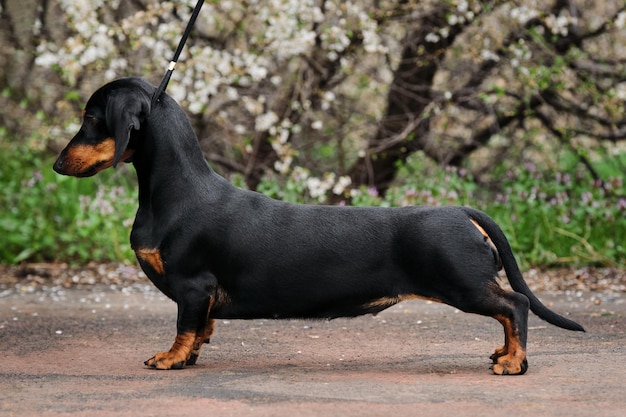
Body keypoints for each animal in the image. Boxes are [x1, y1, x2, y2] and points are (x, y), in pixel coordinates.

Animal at [53, 77, 584, 374]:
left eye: (90, 118)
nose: (57, 165)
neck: (177, 193)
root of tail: (461, 210)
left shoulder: (191, 285)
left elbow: (184, 328)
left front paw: (171, 358)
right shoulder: (199, 296)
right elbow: (202, 329)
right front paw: (193, 353)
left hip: (463, 284)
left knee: (514, 306)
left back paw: (513, 362)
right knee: (510, 310)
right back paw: (506, 355)